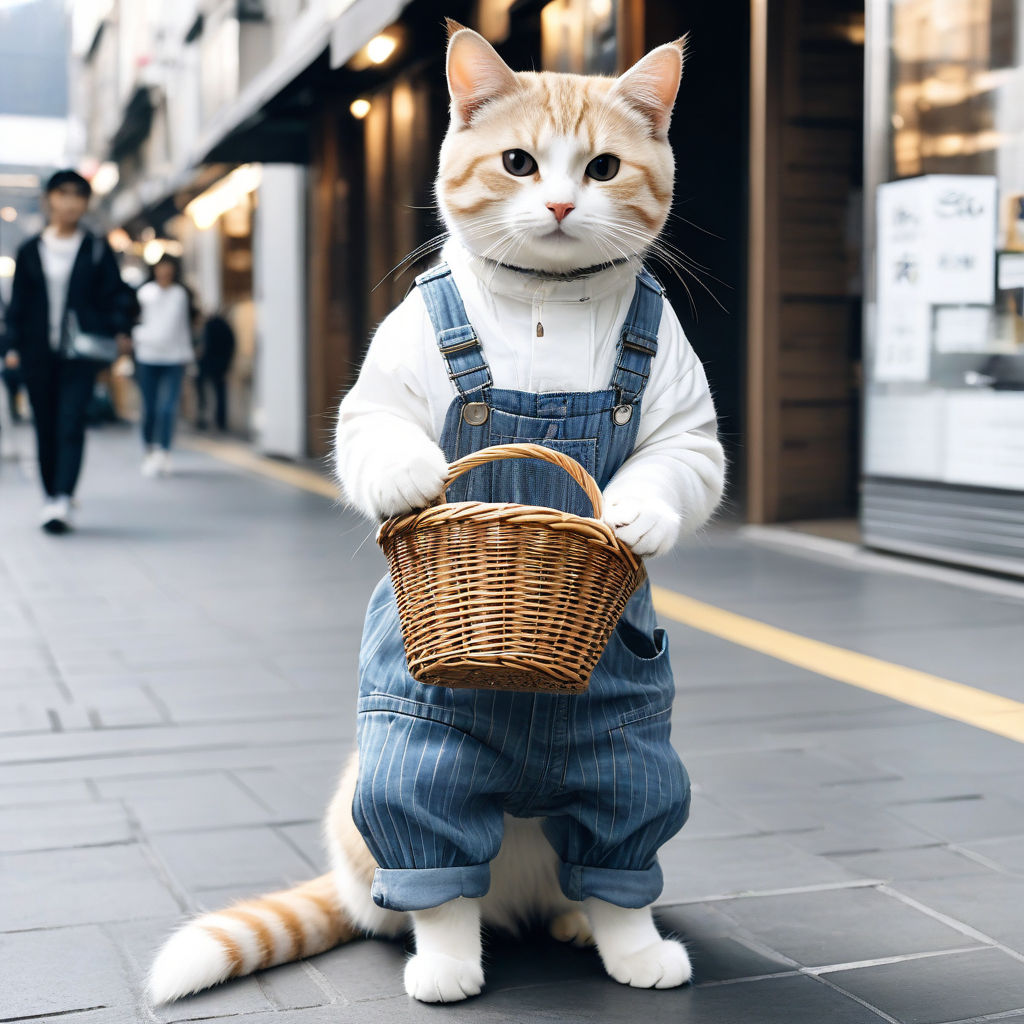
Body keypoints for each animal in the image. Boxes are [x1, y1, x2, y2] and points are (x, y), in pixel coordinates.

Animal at [146, 19, 729, 1003]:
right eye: (520, 162)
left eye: (604, 168)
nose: (562, 205)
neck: (545, 299)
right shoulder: (381, 382)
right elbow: (377, 433)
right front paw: (417, 480)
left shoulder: (688, 418)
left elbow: (679, 463)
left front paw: (634, 516)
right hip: (412, 753)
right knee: (436, 872)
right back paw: (447, 959)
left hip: (630, 751)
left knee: (612, 856)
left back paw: (606, 934)